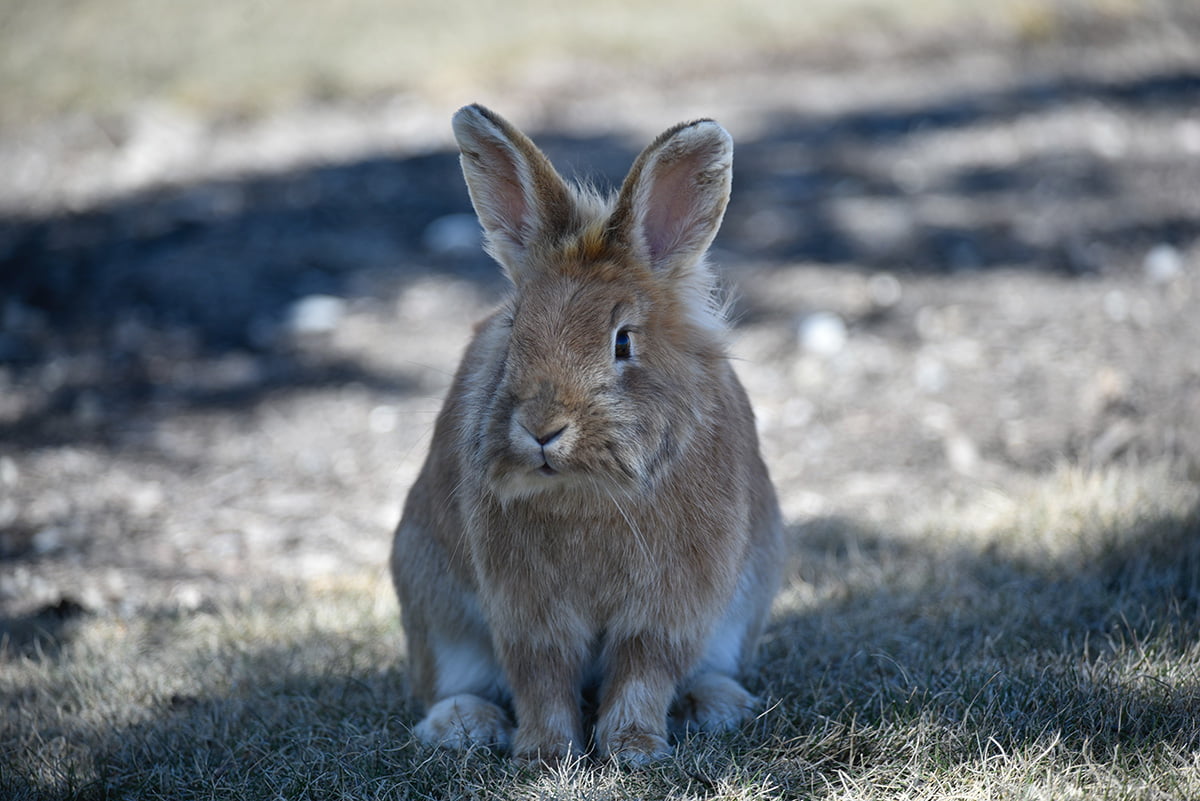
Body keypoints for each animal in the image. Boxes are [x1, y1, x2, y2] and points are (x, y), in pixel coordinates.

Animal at [391, 103, 787, 767]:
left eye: (622, 341)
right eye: (514, 330)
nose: (542, 429)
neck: (588, 492)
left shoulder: (670, 607)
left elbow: (643, 671)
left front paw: (633, 749)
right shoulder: (528, 612)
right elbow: (542, 678)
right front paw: (545, 754)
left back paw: (714, 705)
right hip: (433, 610)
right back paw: (464, 725)